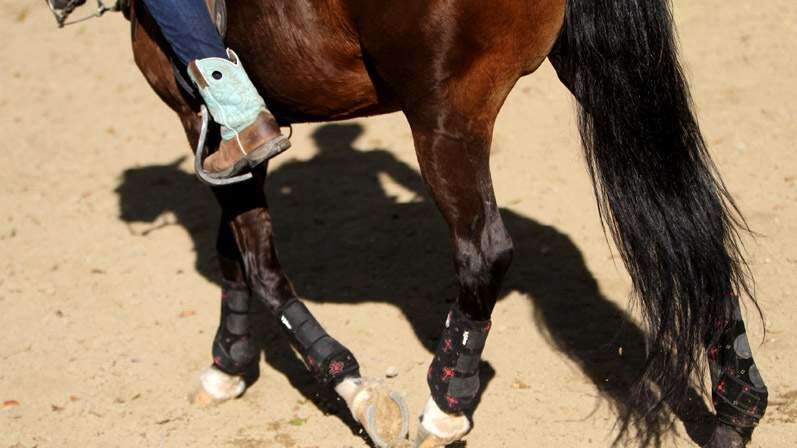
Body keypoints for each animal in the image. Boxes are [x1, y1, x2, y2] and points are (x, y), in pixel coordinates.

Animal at [102, 0, 771, 446]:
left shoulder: (203, 126)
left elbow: (260, 266)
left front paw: (358, 392)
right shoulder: (223, 149)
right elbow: (233, 256)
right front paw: (231, 363)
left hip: (444, 119)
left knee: (484, 251)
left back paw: (446, 406)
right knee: (690, 224)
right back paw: (737, 410)